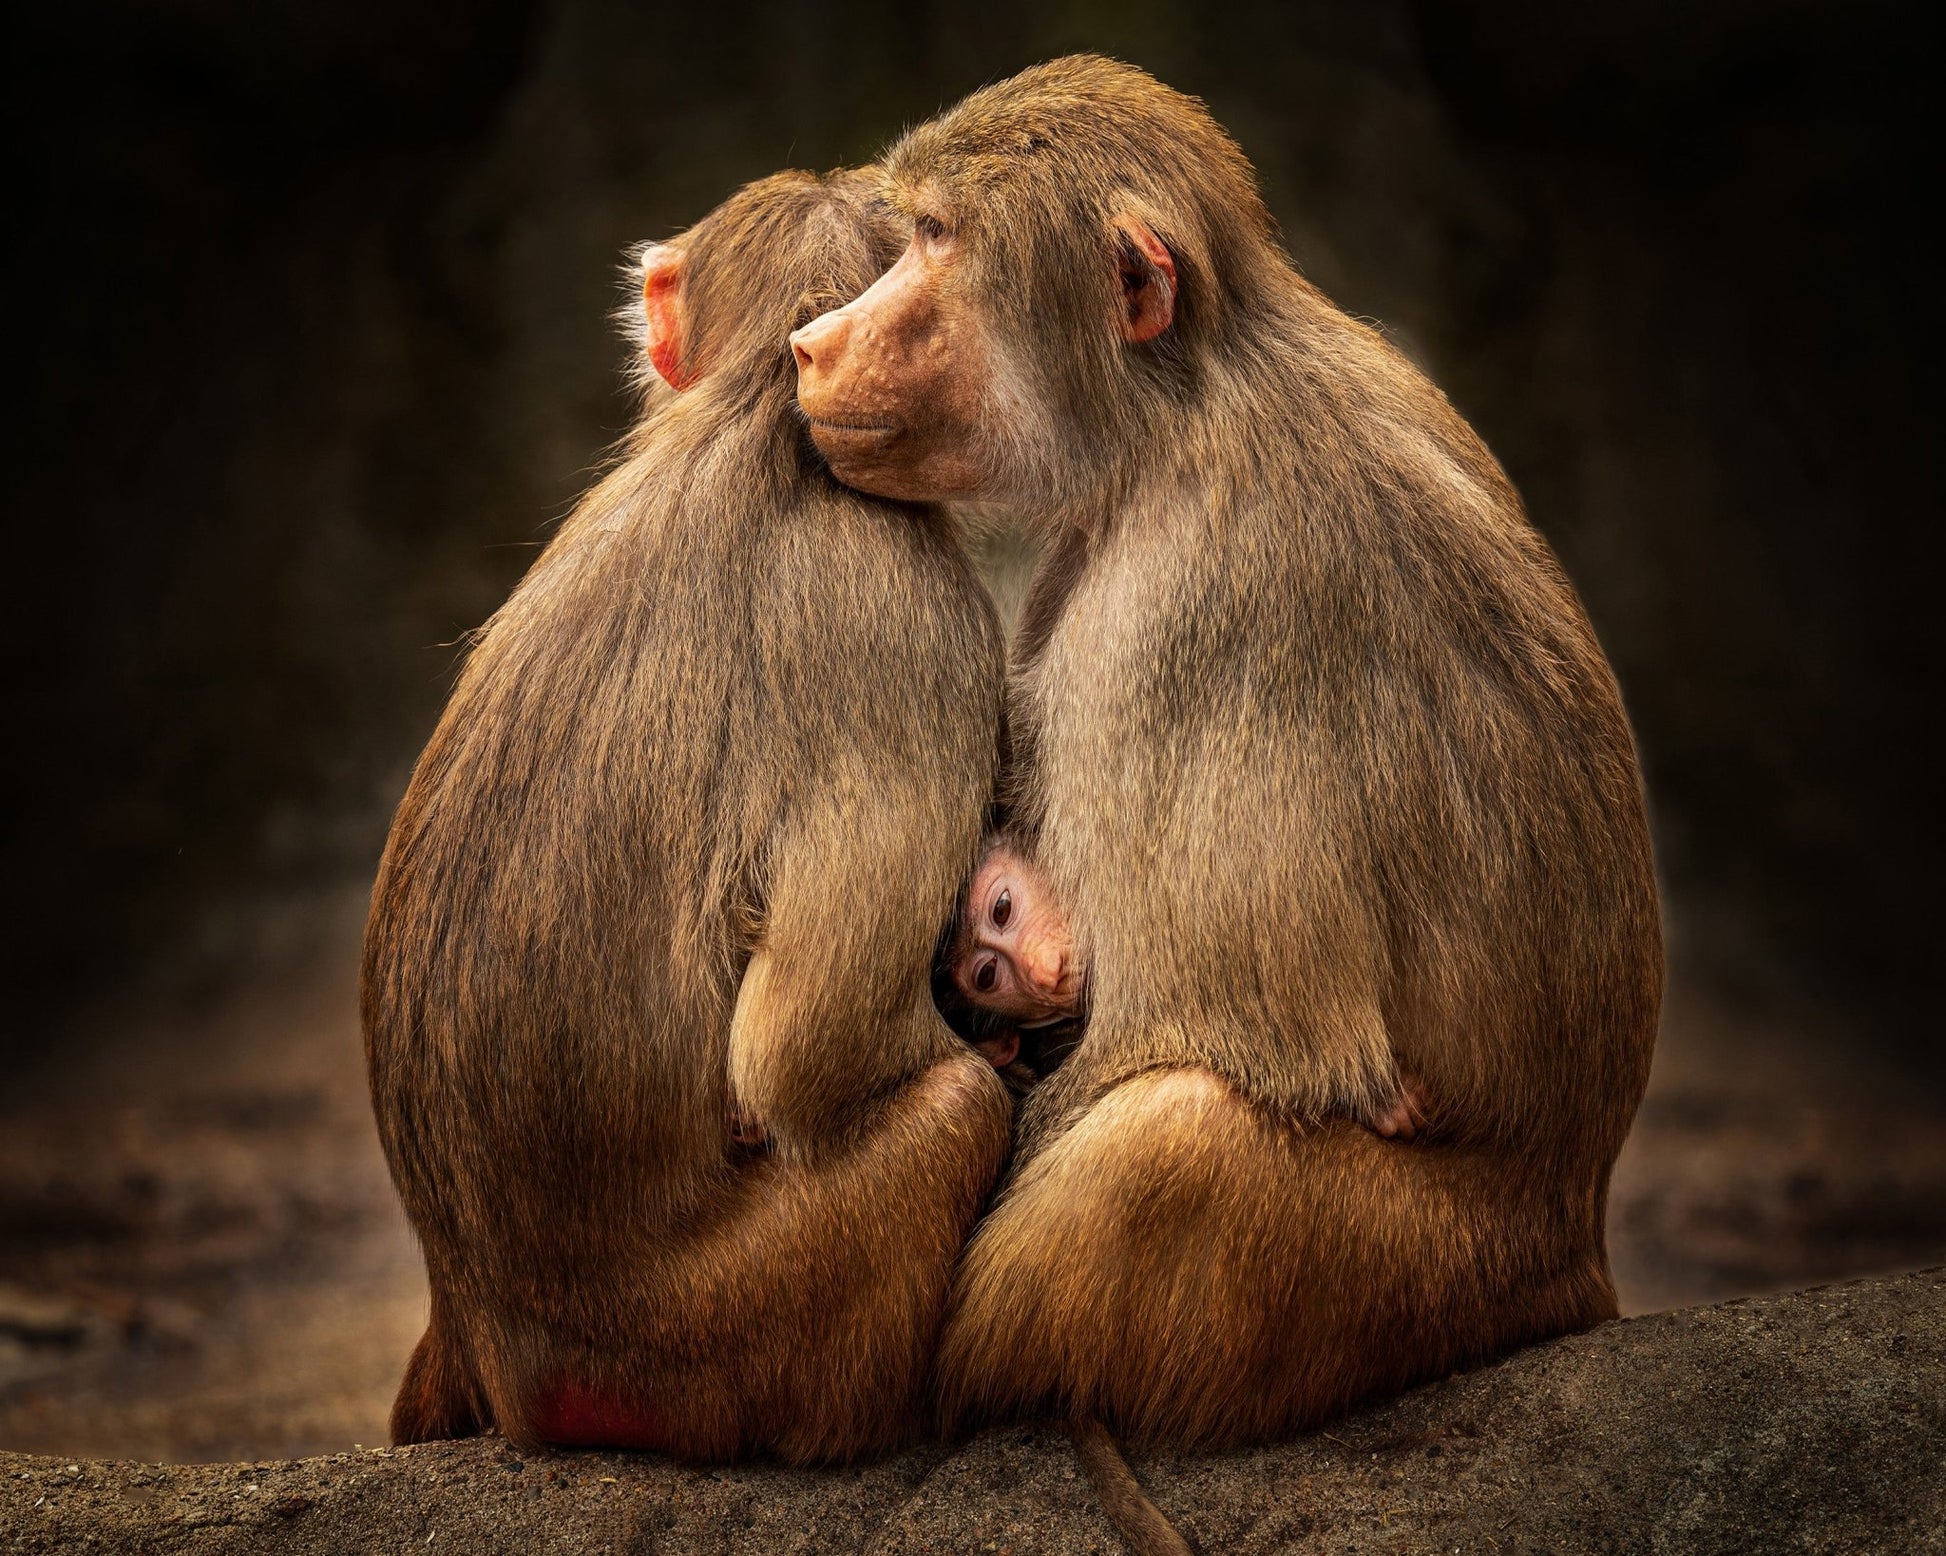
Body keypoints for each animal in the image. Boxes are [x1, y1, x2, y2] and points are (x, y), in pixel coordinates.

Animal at [361, 168, 1013, 1465]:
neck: (761, 411)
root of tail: (494, 1329)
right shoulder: (916, 622)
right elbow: (808, 1052)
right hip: (709, 1342)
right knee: (953, 1111)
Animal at [790, 55, 1663, 1450]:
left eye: (934, 239)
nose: (812, 346)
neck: (1180, 405)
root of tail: (1565, 1254)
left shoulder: (1188, 611)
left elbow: (1239, 1027)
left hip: (1402, 1269)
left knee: (1176, 1132)